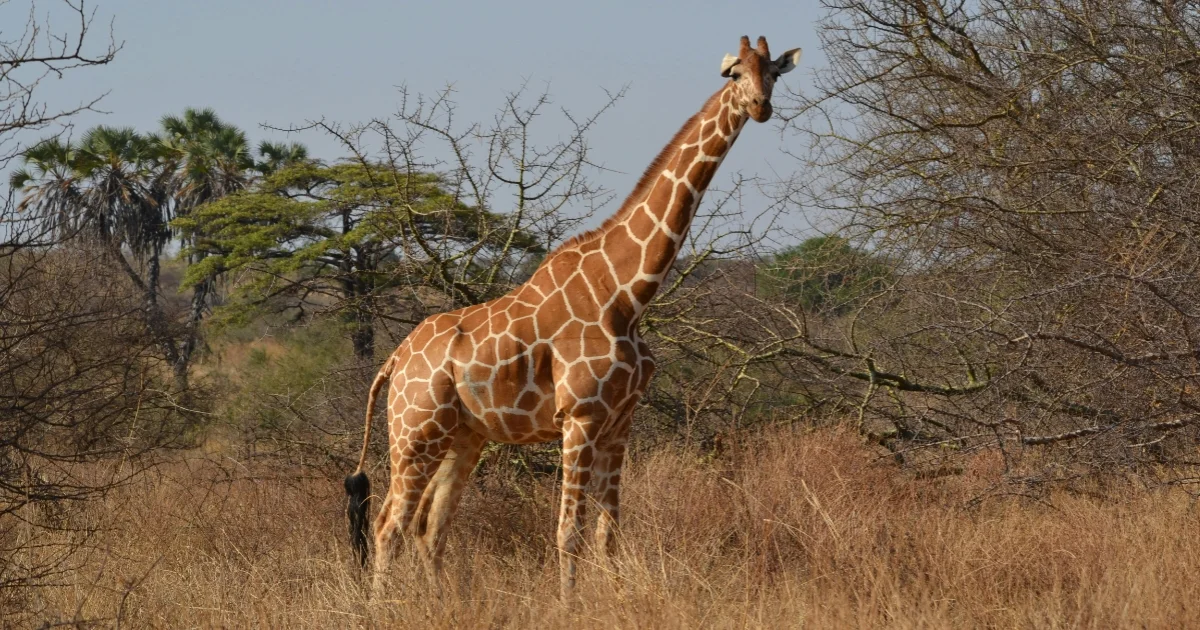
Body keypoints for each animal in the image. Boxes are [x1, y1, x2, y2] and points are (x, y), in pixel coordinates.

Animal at [345, 35, 802, 597]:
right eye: (735, 73)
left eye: (773, 73)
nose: (760, 106)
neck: (627, 293)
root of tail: (393, 360)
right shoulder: (579, 417)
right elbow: (569, 533)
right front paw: (570, 604)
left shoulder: (620, 421)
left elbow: (609, 533)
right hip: (414, 432)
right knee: (389, 524)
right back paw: (382, 607)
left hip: (464, 436)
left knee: (429, 527)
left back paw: (441, 604)